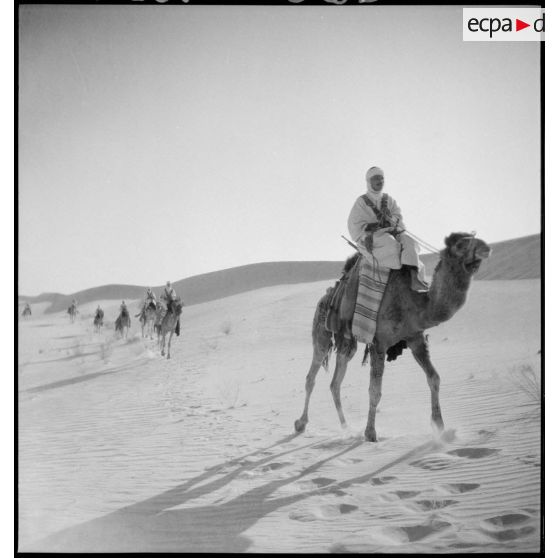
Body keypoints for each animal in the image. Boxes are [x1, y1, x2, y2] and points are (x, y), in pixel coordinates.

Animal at [296, 232, 492, 442]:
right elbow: (375, 390)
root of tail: (327, 294)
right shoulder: (379, 342)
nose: (486, 248)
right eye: (461, 244)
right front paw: (370, 433)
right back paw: (301, 423)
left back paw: (346, 426)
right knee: (311, 376)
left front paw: (439, 426)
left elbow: (434, 378)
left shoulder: (415, 338)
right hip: (322, 332)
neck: (414, 304)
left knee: (335, 382)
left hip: (347, 343)